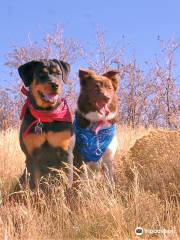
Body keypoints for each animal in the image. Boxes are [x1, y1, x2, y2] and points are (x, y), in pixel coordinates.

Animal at [16, 59, 74, 191]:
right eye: (41, 74)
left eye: (58, 73)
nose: (55, 85)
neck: (46, 115)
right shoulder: (31, 155)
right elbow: (34, 184)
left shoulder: (66, 152)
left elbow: (67, 182)